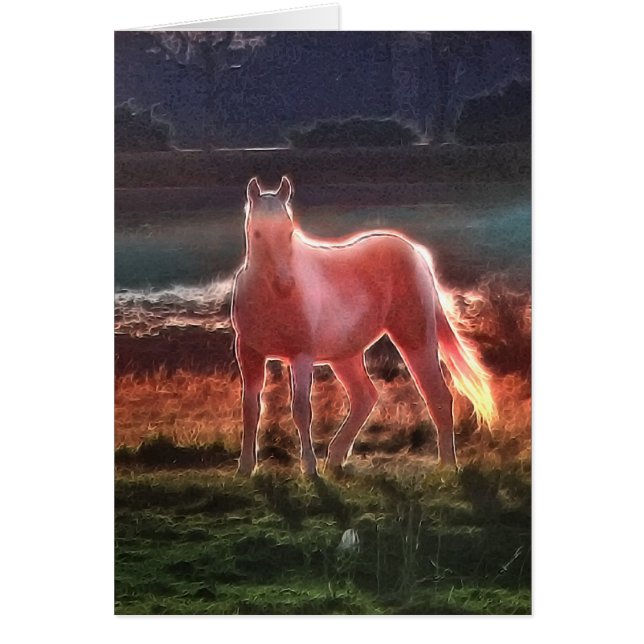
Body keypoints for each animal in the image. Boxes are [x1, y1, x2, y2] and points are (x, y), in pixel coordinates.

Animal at [231, 176, 496, 477]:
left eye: (288, 233)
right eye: (257, 233)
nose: (285, 286)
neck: (269, 298)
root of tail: (415, 253)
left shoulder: (301, 357)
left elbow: (300, 410)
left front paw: (309, 468)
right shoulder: (249, 354)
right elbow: (250, 409)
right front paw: (245, 468)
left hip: (415, 339)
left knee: (437, 395)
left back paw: (448, 465)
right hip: (345, 356)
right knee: (365, 396)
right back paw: (335, 458)